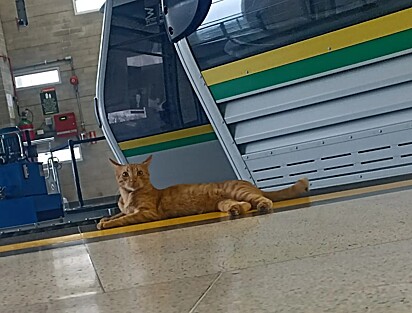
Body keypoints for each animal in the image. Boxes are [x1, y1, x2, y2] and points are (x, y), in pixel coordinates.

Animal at [97, 155, 308, 229]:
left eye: (139, 173)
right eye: (125, 174)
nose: (132, 180)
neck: (127, 197)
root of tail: (250, 183)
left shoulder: (147, 213)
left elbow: (124, 218)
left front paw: (106, 224)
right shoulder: (125, 209)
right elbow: (117, 214)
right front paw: (103, 219)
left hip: (240, 193)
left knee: (262, 200)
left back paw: (263, 206)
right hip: (224, 202)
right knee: (246, 205)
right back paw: (235, 211)